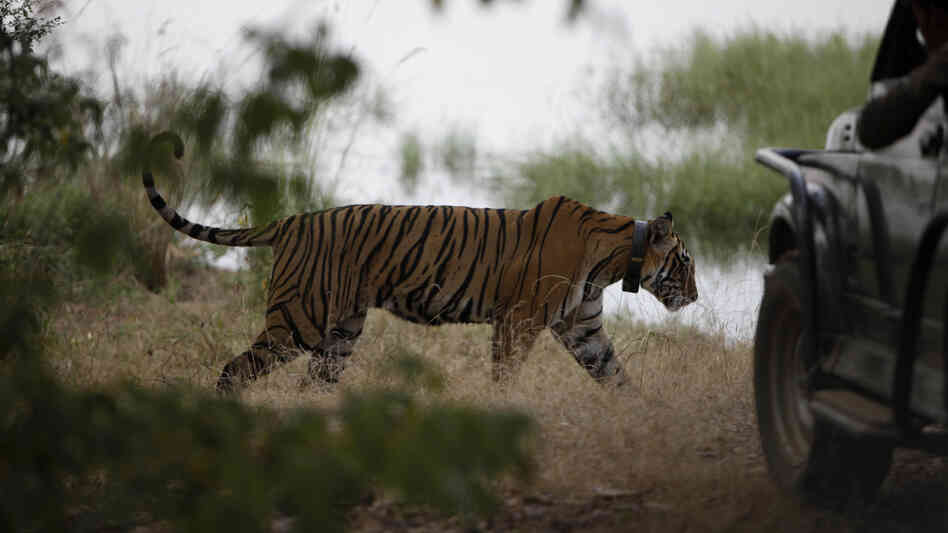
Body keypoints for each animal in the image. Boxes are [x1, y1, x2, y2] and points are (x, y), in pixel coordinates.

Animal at [143, 132, 698, 392]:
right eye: (686, 263)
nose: (695, 297)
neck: (615, 259)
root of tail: (293, 220)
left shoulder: (583, 328)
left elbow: (617, 377)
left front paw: (643, 422)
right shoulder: (519, 321)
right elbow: (505, 375)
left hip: (341, 330)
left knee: (313, 382)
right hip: (299, 320)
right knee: (234, 370)